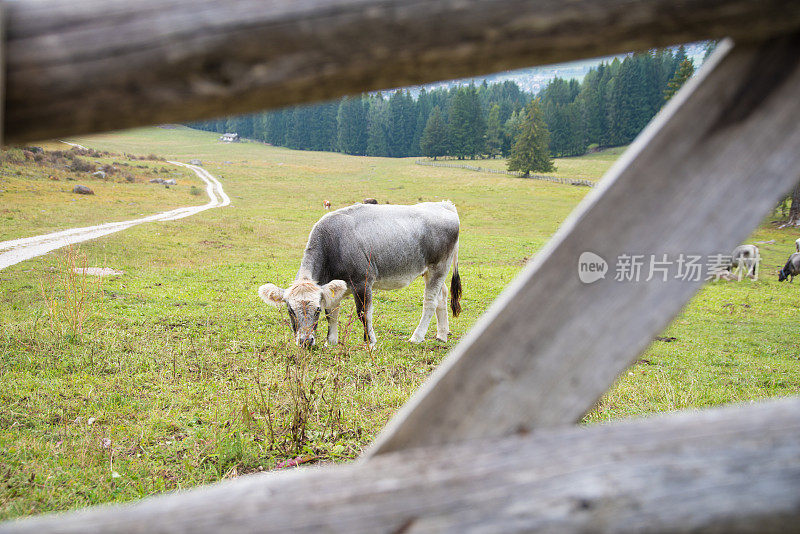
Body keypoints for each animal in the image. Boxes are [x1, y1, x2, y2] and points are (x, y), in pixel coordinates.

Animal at [260, 200, 462, 348]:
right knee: (442, 296)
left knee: (430, 302)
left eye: (316, 310)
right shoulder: (333, 287)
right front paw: (330, 341)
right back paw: (442, 334)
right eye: (290, 310)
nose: (305, 341)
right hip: (431, 272)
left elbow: (364, 313)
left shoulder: (362, 282)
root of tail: (444, 205)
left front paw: (370, 342)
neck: (333, 242)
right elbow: (332, 313)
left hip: (439, 267)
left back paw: (417, 337)